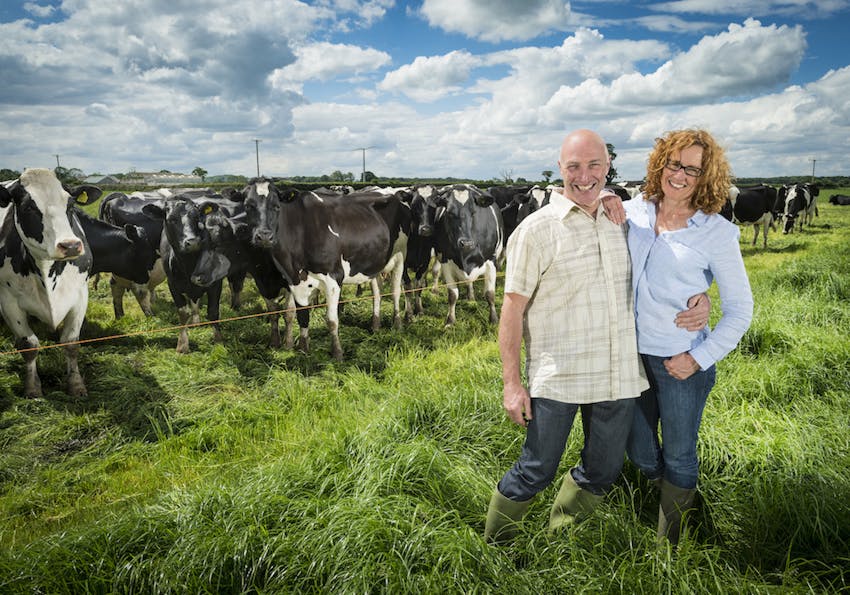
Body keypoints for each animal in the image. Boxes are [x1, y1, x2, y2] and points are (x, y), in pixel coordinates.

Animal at [0, 170, 101, 398]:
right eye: (28, 207)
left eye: (70, 204)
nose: (70, 245)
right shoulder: (8, 301)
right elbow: (28, 344)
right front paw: (32, 387)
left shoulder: (80, 294)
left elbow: (71, 342)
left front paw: (76, 384)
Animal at [430, 185, 504, 326]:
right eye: (449, 212)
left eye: (474, 212)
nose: (466, 243)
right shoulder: (446, 261)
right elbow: (452, 295)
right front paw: (450, 321)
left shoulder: (491, 261)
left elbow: (490, 294)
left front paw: (494, 320)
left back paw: (471, 297)